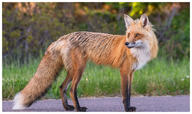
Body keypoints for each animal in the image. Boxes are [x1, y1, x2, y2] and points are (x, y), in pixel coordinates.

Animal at [12, 14, 158, 111]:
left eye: (137, 35)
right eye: (128, 34)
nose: (127, 44)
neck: (138, 52)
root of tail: (62, 38)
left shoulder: (131, 73)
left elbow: (129, 92)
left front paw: (129, 106)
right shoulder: (124, 71)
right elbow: (125, 94)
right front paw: (127, 109)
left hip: (72, 71)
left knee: (61, 87)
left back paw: (67, 107)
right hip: (80, 70)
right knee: (72, 90)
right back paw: (79, 108)